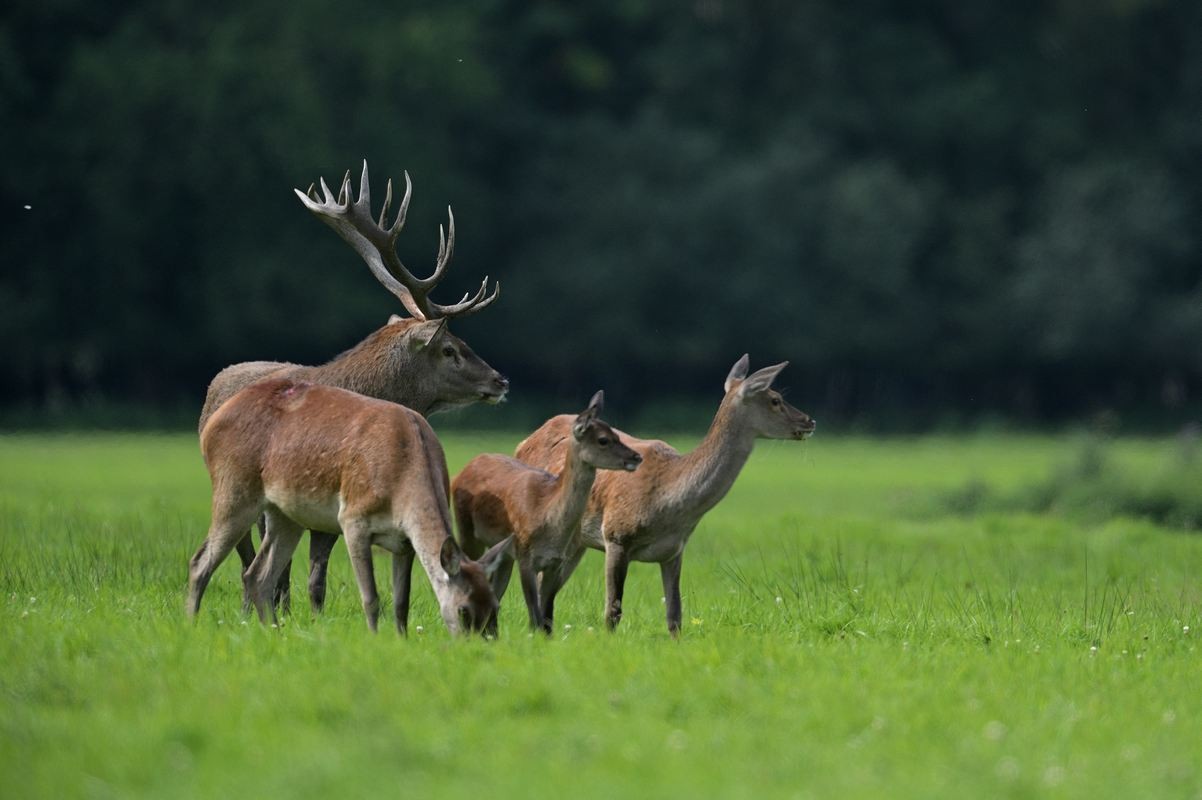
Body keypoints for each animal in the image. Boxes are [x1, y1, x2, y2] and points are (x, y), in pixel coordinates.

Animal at [187, 377, 512, 634]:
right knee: (200, 562)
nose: (481, 644)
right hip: (234, 488)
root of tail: (209, 425)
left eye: (495, 606)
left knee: (257, 575)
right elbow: (371, 597)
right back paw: (192, 625)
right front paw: (375, 640)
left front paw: (402, 641)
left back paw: (274, 632)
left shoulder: (404, 542)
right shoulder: (354, 520)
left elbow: (401, 602)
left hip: (285, 514)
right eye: (463, 609)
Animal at [451, 389, 644, 634]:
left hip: (503, 554)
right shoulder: (525, 556)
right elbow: (534, 615)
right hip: (467, 531)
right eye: (603, 439)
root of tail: (462, 471)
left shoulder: (555, 562)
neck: (547, 515)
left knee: (496, 592)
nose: (636, 457)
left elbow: (545, 617)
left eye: (616, 434)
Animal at [512, 355, 812, 634]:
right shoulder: (616, 535)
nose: (809, 421)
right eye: (775, 399)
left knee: (547, 589)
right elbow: (612, 611)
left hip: (576, 542)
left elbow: (675, 614)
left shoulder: (673, 550)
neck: (666, 501)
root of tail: (522, 442)